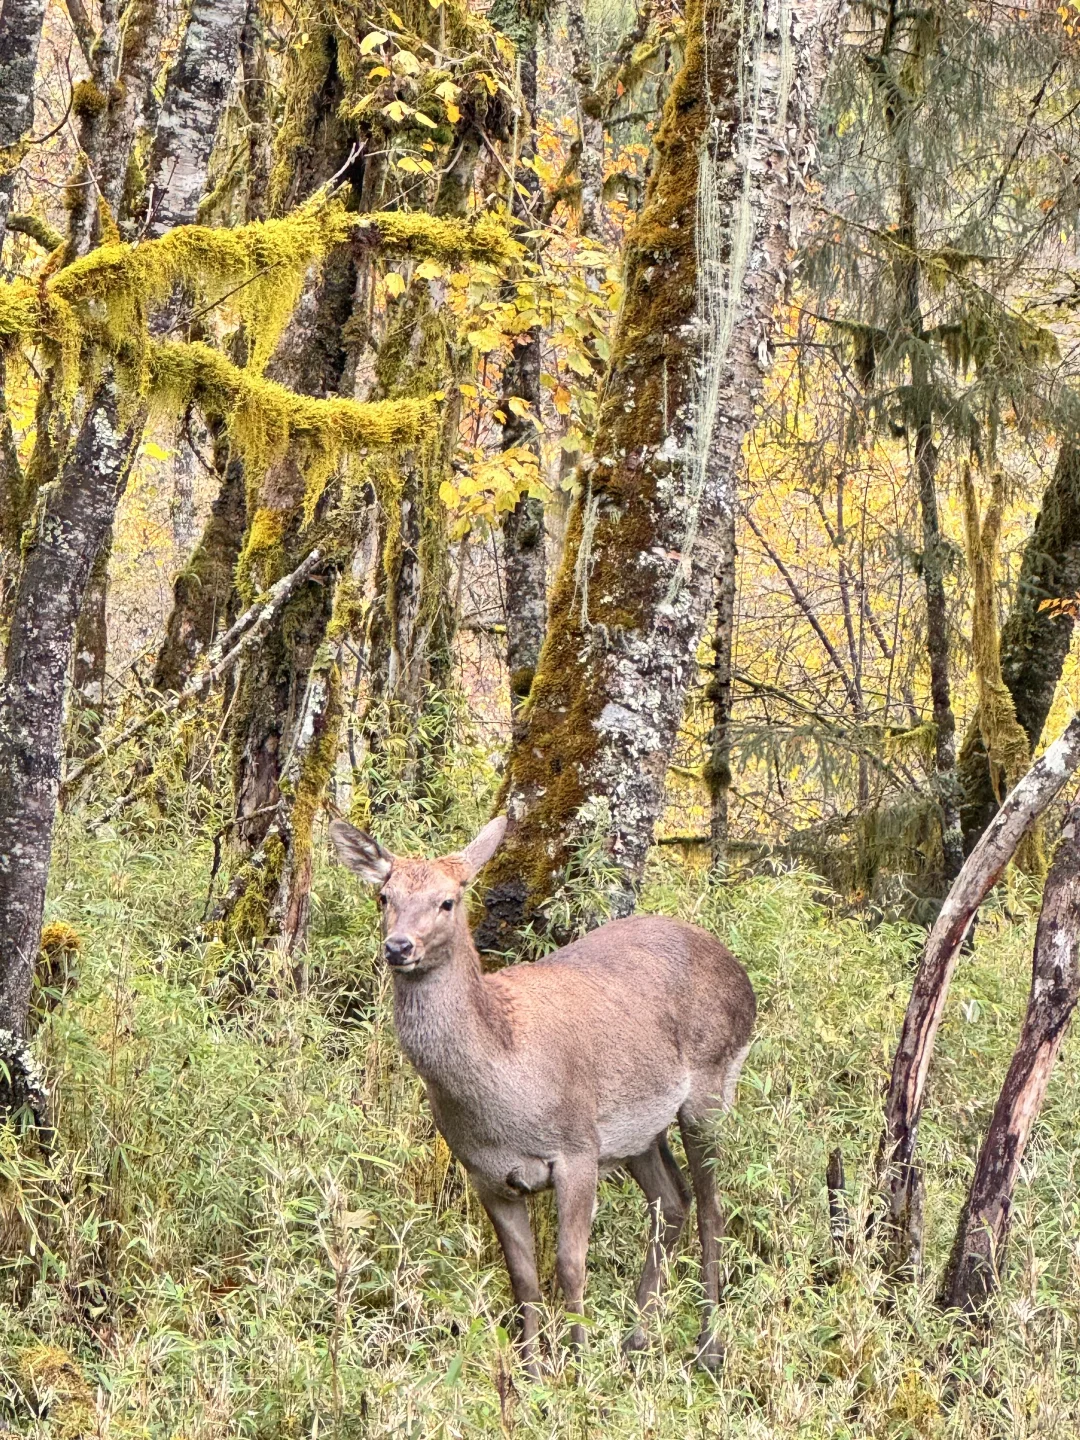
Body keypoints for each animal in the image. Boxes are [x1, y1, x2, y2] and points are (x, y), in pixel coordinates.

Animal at [330, 814, 756, 1375]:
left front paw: (577, 1366)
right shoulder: (486, 1172)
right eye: (384, 895)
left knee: (712, 1210)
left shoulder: (576, 1149)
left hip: (711, 1086)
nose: (399, 947)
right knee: (672, 1201)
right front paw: (531, 1370)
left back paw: (709, 1347)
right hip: (636, 1132)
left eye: (449, 901)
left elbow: (570, 1265)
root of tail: (741, 976)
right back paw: (636, 1340)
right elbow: (525, 1279)